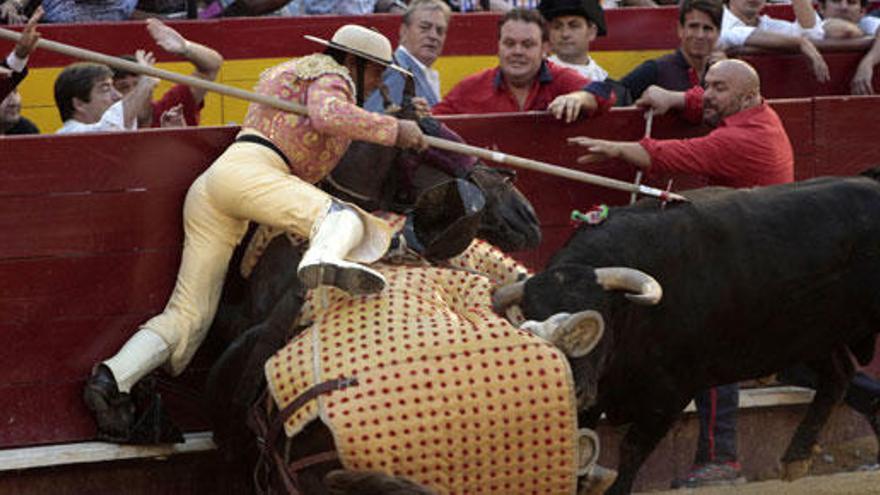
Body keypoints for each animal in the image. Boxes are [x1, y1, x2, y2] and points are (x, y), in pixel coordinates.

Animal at [496, 172, 880, 494]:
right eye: (529, 319)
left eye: (599, 317)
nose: (575, 389)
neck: (632, 315)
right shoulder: (599, 395)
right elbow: (582, 449)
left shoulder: (671, 393)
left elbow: (631, 450)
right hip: (809, 338)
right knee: (839, 375)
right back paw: (796, 458)